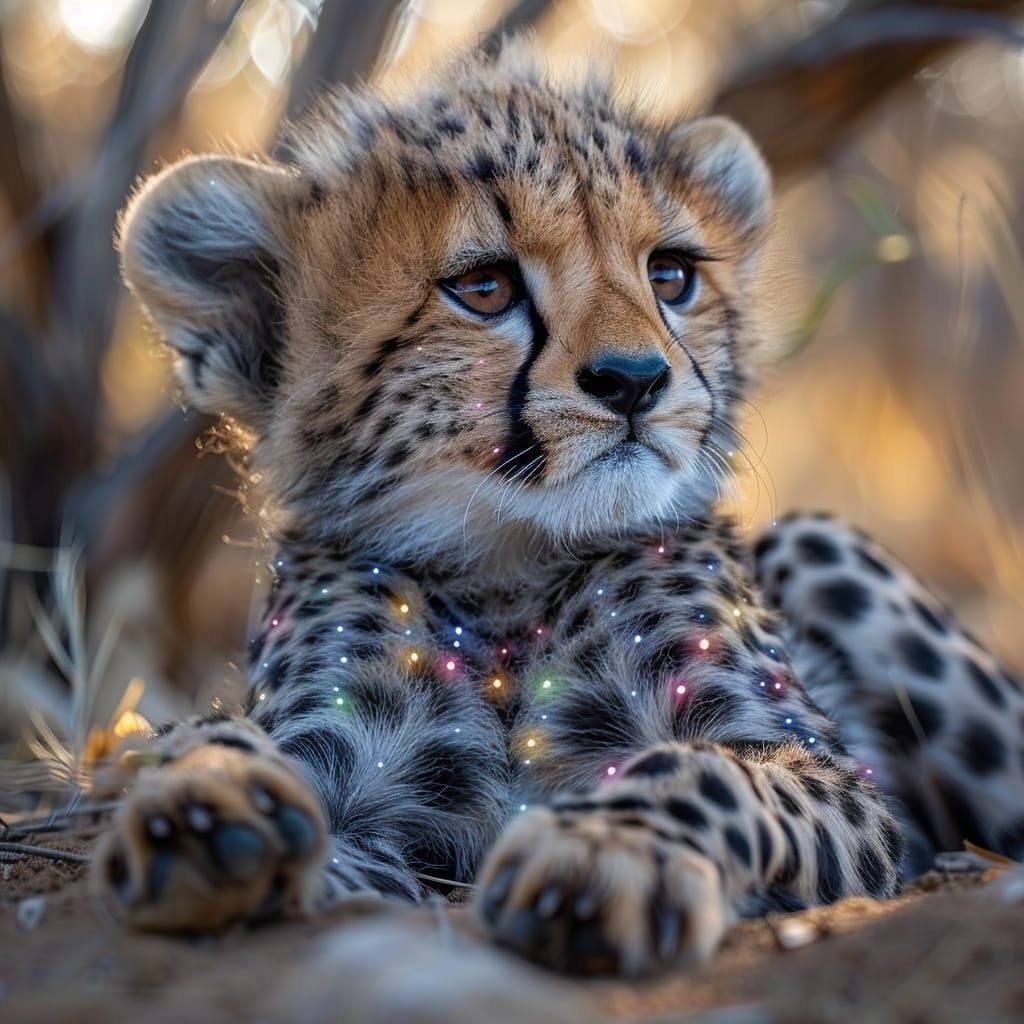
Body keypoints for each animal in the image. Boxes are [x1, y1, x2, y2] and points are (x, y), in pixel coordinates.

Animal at [92, 40, 1024, 975]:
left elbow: (704, 768)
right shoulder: (366, 803)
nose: (635, 380)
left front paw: (609, 848)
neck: (511, 568)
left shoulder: (834, 777)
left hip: (813, 540)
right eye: (484, 287)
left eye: (671, 276)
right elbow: (241, 766)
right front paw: (204, 797)